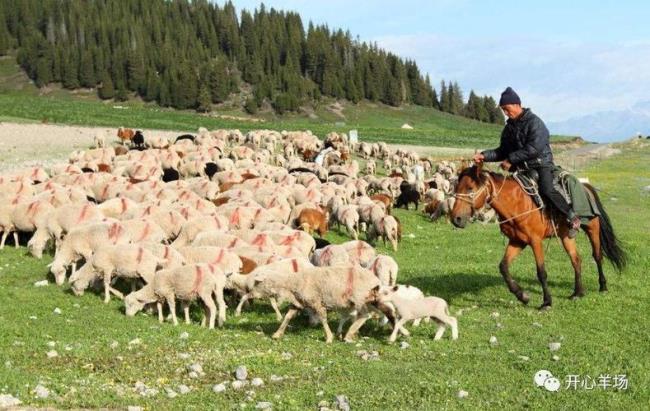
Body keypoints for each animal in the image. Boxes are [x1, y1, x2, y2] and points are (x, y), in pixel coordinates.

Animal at [450, 164, 624, 308]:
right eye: (457, 186)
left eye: (470, 188)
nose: (456, 219)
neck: (517, 203)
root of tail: (586, 186)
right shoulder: (517, 241)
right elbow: (503, 267)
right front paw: (523, 296)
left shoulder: (535, 241)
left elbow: (541, 272)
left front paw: (547, 302)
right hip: (566, 236)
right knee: (576, 259)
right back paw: (577, 292)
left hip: (592, 229)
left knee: (597, 256)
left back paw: (602, 286)